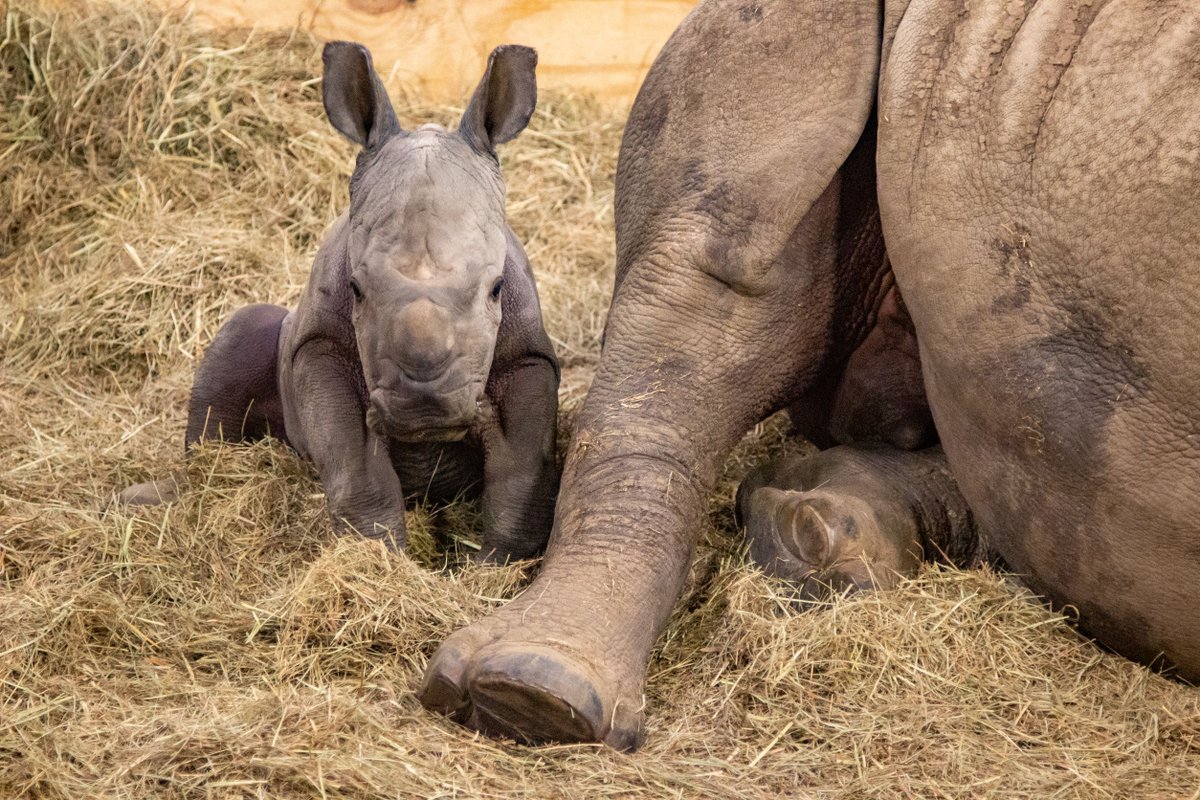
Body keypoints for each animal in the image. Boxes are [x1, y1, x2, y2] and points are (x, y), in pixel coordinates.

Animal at [124, 42, 559, 562]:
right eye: (355, 289)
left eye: (496, 288)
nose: (424, 409)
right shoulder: (319, 345)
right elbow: (355, 464)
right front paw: (377, 557)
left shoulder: (528, 356)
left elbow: (521, 472)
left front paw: (499, 565)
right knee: (240, 333)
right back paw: (159, 495)